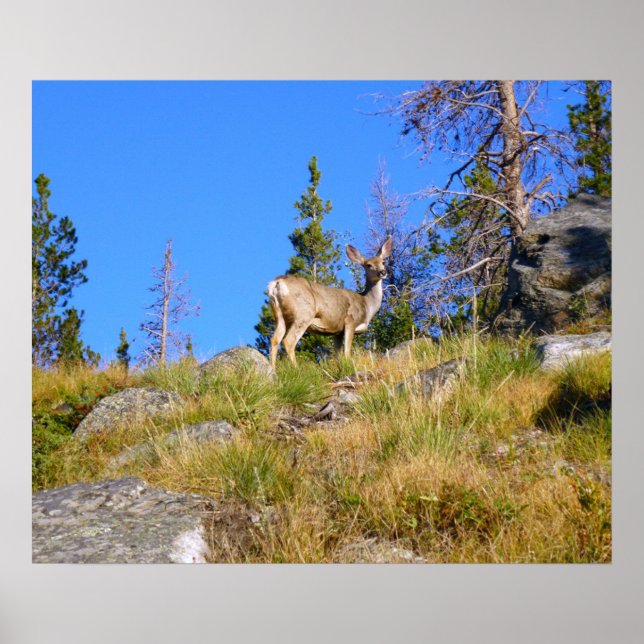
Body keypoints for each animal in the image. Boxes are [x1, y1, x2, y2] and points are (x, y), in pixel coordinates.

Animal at [267, 236, 393, 368]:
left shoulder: (337, 331)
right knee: (288, 340)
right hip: (303, 313)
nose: (383, 272)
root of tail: (277, 283)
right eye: (368, 265)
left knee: (274, 339)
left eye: (383, 262)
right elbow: (347, 352)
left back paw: (273, 370)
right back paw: (296, 368)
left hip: (279, 315)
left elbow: (338, 355)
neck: (366, 304)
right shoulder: (350, 321)